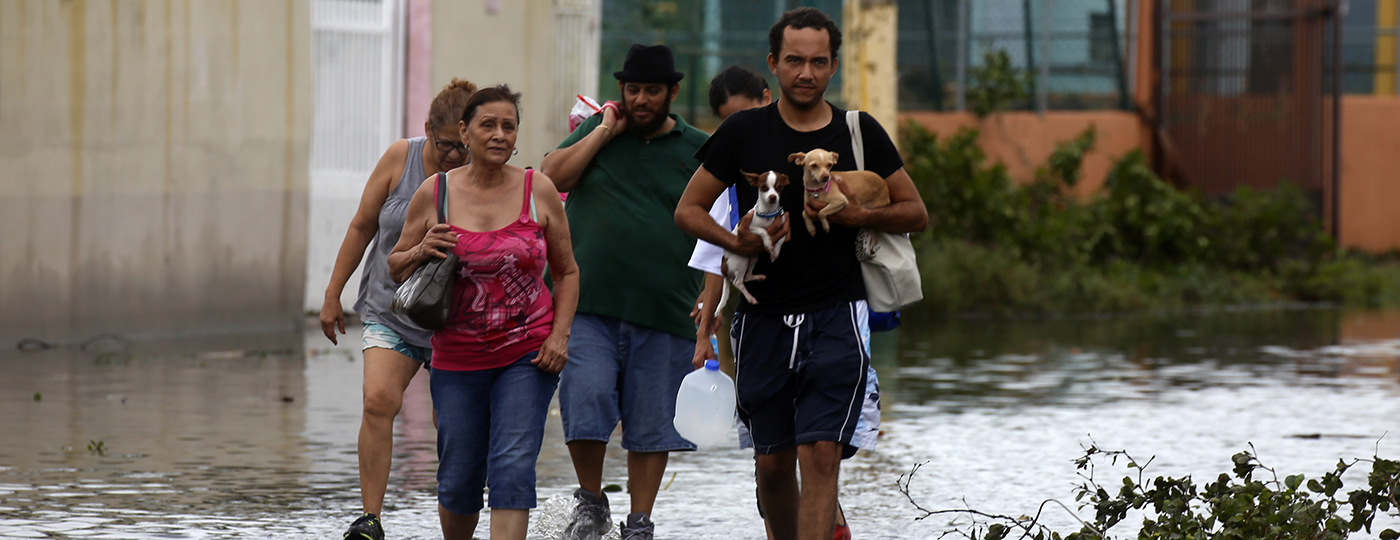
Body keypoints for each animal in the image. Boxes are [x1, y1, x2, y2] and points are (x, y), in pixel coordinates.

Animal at [722, 169, 789, 303]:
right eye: (764, 187)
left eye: (779, 187)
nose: (773, 197)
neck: (768, 213)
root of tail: (723, 267)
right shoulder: (749, 228)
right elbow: (763, 231)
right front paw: (768, 243)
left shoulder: (784, 226)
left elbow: (781, 238)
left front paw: (775, 251)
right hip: (741, 261)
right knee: (738, 282)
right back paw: (750, 297)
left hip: (752, 258)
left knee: (746, 277)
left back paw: (758, 277)